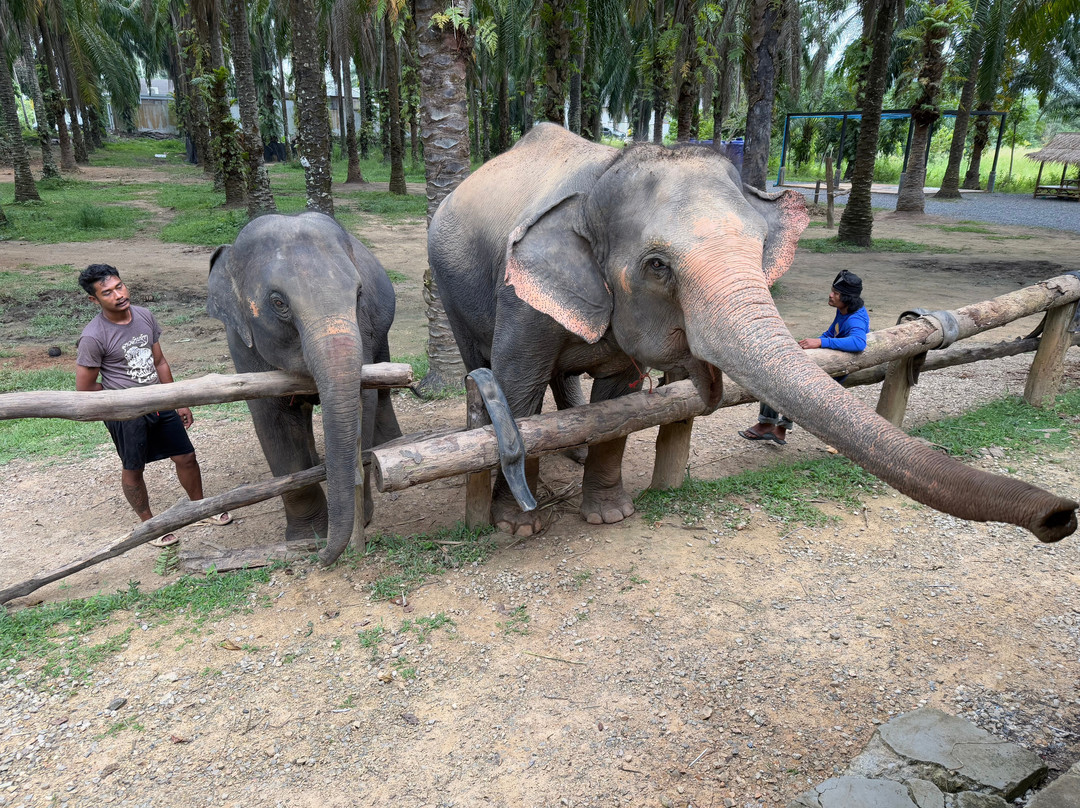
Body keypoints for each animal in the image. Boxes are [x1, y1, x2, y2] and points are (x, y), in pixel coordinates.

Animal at [208, 211, 401, 565]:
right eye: (278, 302)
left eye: (359, 295)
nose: (322, 557)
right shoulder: (241, 345)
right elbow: (273, 422)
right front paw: (306, 536)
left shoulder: (365, 329)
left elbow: (365, 400)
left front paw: (364, 518)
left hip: (382, 334)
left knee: (382, 390)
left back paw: (393, 443)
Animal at [428, 123, 1078, 542]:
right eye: (657, 266)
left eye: (759, 247)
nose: (1061, 517)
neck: (607, 169)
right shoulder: (519, 297)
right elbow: (516, 386)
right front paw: (518, 526)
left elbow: (618, 399)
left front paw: (611, 516)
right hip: (449, 277)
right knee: (484, 360)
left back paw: (578, 447)